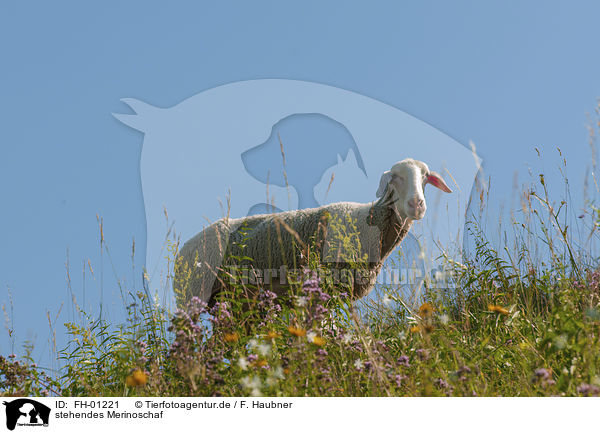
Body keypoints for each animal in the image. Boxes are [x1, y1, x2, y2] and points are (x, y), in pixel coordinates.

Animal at [176, 159, 452, 308]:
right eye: (395, 177)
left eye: (426, 177)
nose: (416, 205)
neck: (368, 224)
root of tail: (183, 248)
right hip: (192, 296)